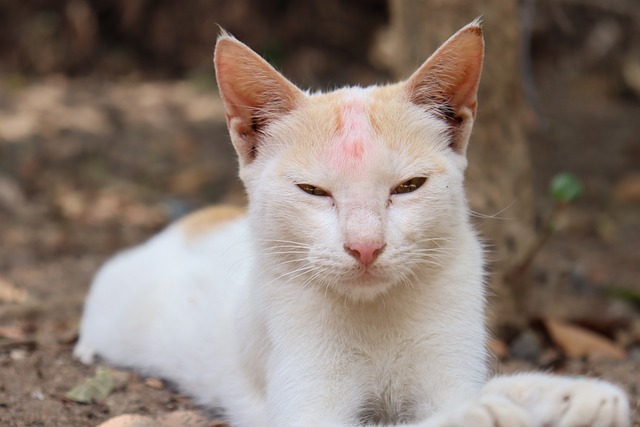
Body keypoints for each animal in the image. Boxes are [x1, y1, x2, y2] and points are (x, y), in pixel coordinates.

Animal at [75, 23, 632, 427]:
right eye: (313, 191)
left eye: (408, 187)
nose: (365, 247)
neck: (377, 316)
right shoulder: (305, 409)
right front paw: (486, 409)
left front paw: (563, 394)